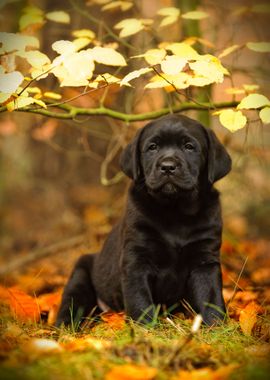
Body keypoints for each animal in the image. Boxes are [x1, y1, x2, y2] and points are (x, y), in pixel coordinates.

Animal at [56, 113, 231, 326]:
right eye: (152, 147)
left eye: (189, 146)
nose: (167, 167)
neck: (176, 211)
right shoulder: (136, 258)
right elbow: (139, 298)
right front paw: (144, 328)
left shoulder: (205, 259)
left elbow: (211, 296)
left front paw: (217, 326)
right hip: (79, 276)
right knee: (70, 305)